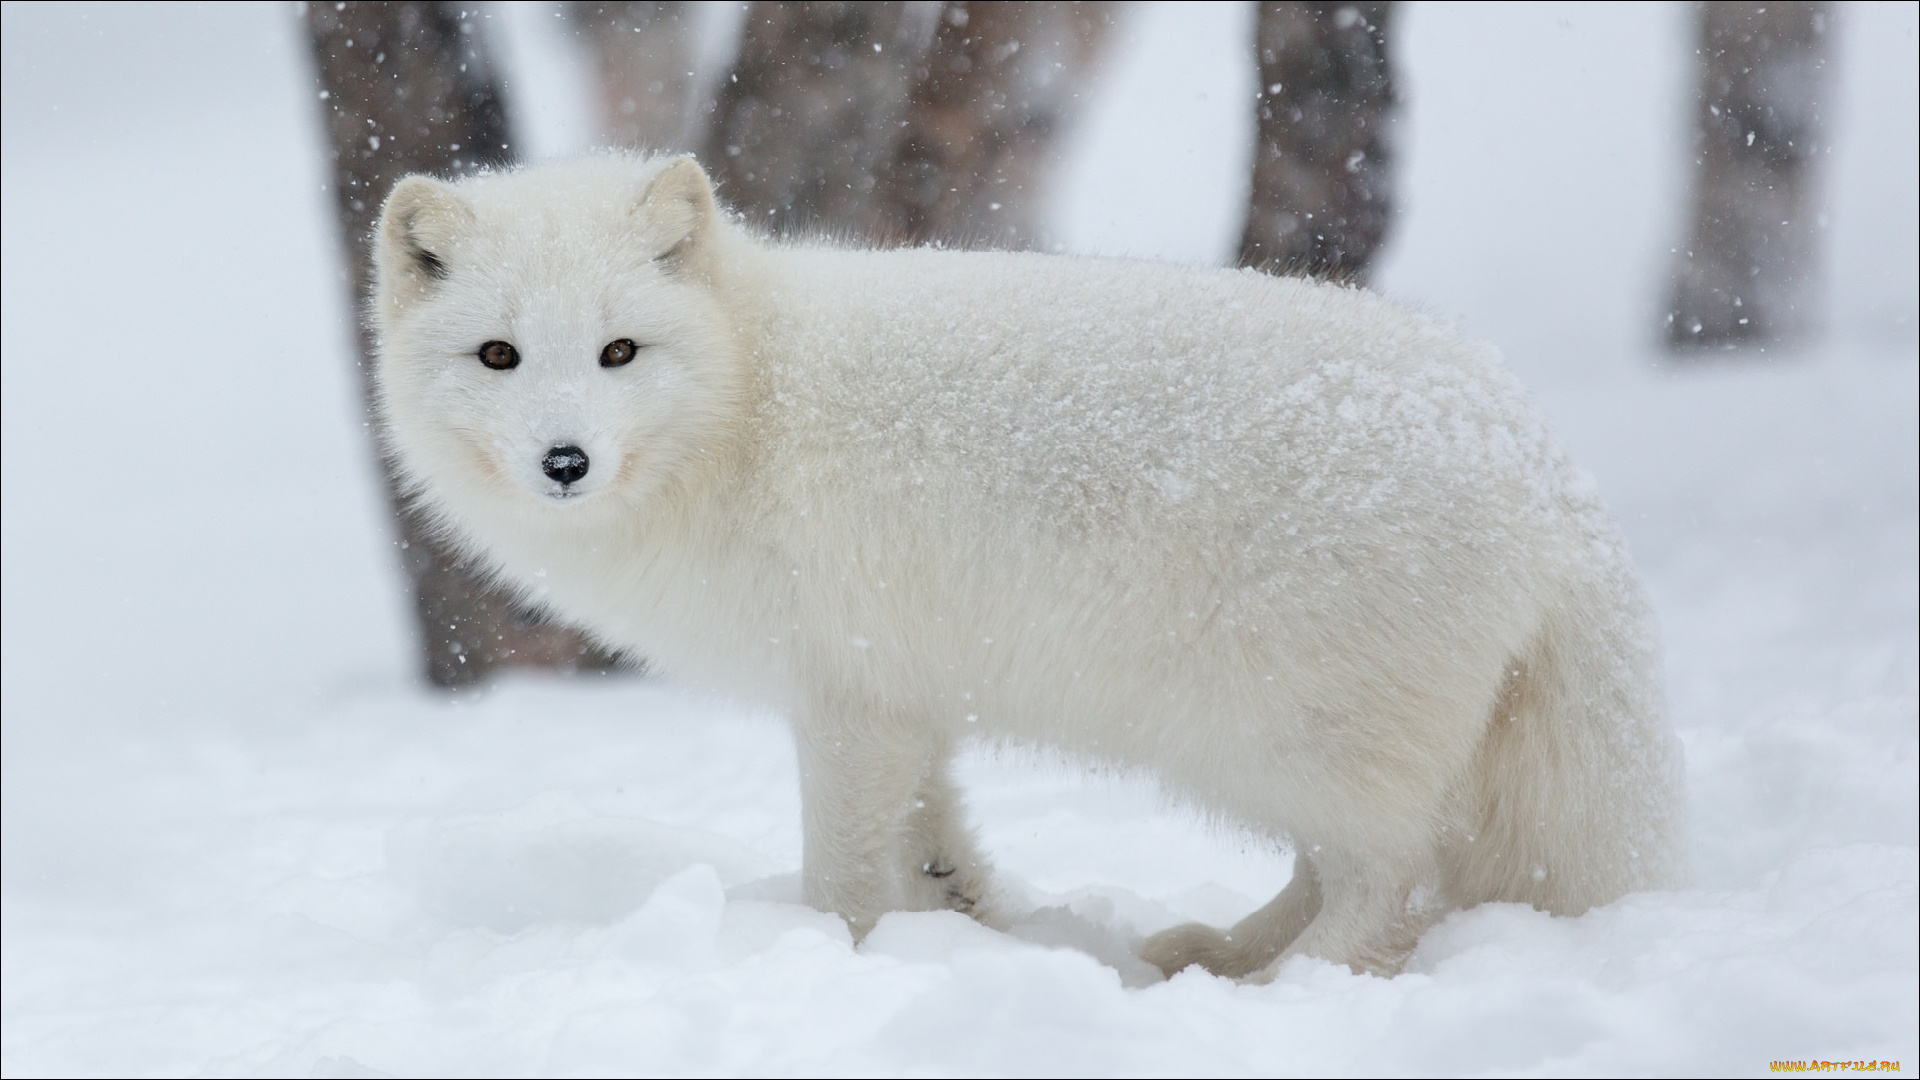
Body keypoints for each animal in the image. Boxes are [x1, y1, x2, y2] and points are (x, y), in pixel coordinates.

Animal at [370, 153, 1681, 976]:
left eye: (618, 351)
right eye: (499, 355)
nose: (565, 461)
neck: (751, 396)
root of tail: (1539, 465)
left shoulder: (845, 700)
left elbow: (844, 873)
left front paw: (835, 960)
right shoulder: (906, 700)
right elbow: (933, 841)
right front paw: (963, 928)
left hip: (1278, 736)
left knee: (1393, 885)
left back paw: (1279, 989)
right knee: (1349, 875)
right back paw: (1215, 956)